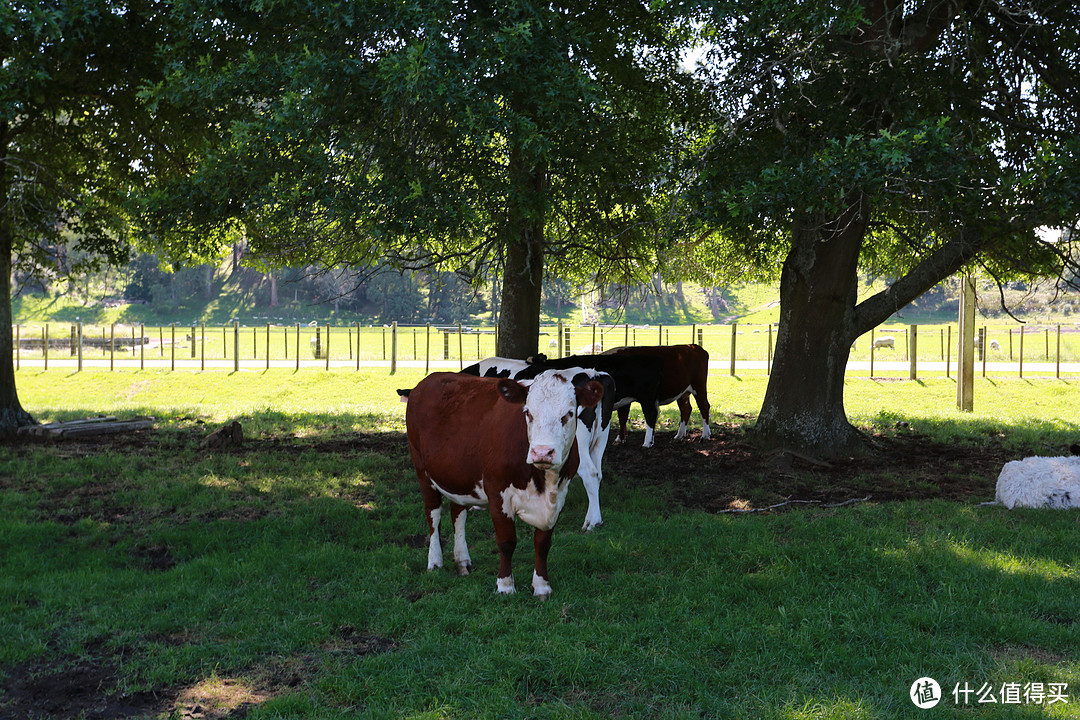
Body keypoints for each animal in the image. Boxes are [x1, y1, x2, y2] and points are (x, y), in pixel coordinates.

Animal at [406, 371, 604, 595]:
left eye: (569, 413)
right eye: (527, 412)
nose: (542, 452)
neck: (543, 483)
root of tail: (427, 381)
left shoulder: (559, 495)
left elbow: (543, 543)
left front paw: (541, 586)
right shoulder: (497, 492)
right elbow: (507, 541)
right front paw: (505, 585)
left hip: (459, 475)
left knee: (458, 512)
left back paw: (462, 561)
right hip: (421, 469)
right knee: (433, 515)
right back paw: (435, 562)